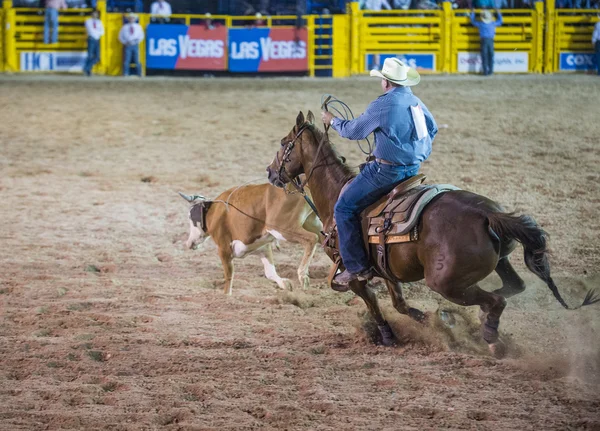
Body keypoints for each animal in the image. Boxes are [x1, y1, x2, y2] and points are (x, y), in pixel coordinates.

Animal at [180, 182, 324, 296]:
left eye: (190, 217)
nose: (189, 243)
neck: (214, 212)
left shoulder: (223, 249)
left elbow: (229, 275)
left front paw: (227, 296)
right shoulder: (262, 247)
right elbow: (270, 272)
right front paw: (285, 284)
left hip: (281, 228)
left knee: (311, 238)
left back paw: (303, 275)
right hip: (314, 224)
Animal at [268, 111, 600, 354]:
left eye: (284, 143)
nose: (271, 172)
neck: (336, 194)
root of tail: (486, 213)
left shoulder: (353, 273)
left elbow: (374, 304)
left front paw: (388, 336)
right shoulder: (386, 269)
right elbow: (400, 304)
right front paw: (429, 320)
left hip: (445, 282)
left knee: (496, 301)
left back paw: (490, 338)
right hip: (497, 263)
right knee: (512, 288)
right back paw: (468, 321)